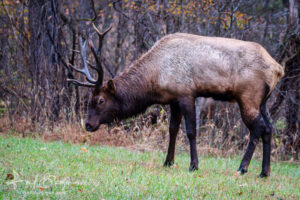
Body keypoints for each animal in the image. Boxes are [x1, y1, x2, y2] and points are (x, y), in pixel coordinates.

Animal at [68, 24, 284, 177]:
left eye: (101, 100)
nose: (88, 124)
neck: (155, 78)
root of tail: (277, 68)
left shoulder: (186, 93)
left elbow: (190, 131)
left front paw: (193, 165)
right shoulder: (173, 99)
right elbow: (172, 130)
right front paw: (168, 162)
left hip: (248, 97)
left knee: (257, 128)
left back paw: (242, 168)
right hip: (263, 101)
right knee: (269, 127)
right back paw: (264, 172)